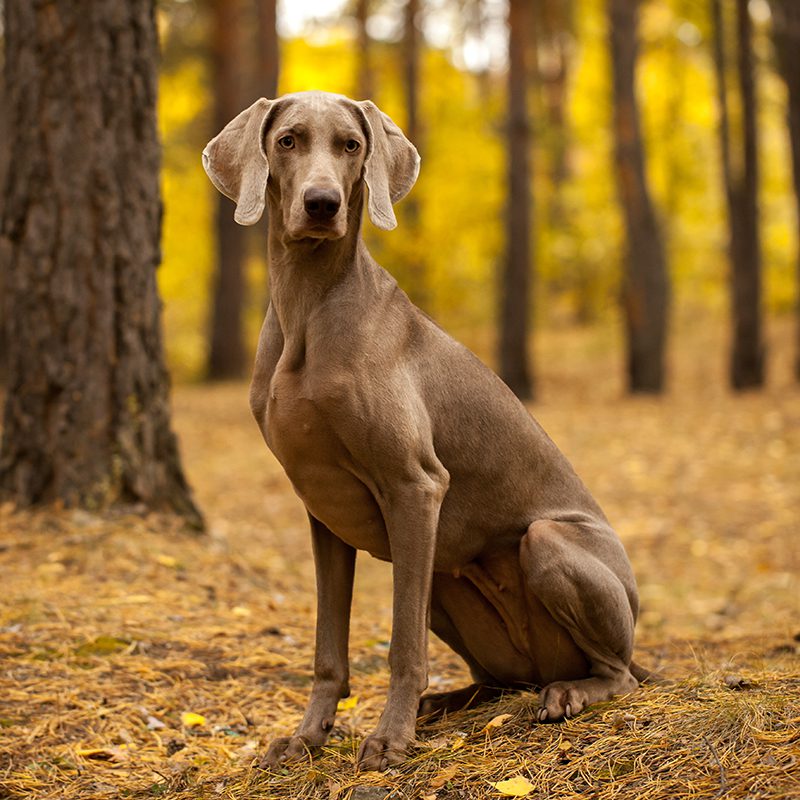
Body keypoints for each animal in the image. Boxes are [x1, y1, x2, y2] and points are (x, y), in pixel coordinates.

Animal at [203, 90, 648, 772]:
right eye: (287, 141)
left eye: (352, 145)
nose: (322, 203)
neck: (309, 305)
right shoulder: (323, 509)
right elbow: (327, 649)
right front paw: (308, 737)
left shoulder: (415, 487)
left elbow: (401, 645)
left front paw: (391, 739)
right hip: (445, 576)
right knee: (498, 680)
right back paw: (445, 704)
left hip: (540, 543)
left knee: (616, 673)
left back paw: (565, 693)